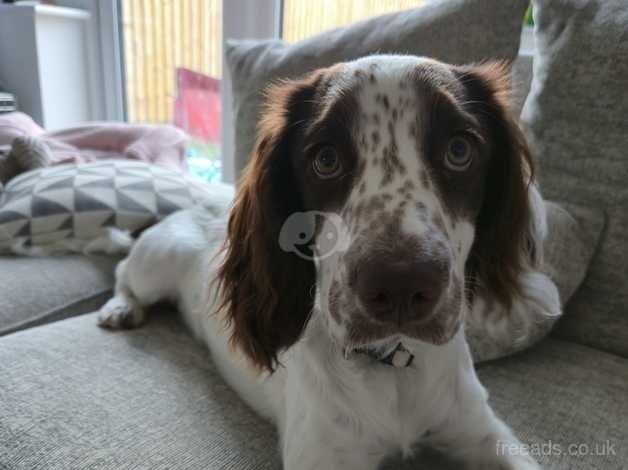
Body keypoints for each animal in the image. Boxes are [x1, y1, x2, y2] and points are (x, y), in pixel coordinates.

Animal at [98, 56, 560, 470]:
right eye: (325, 159)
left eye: (459, 149)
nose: (400, 285)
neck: (392, 364)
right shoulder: (322, 454)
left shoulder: (481, 431)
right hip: (158, 261)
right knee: (123, 270)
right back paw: (119, 308)